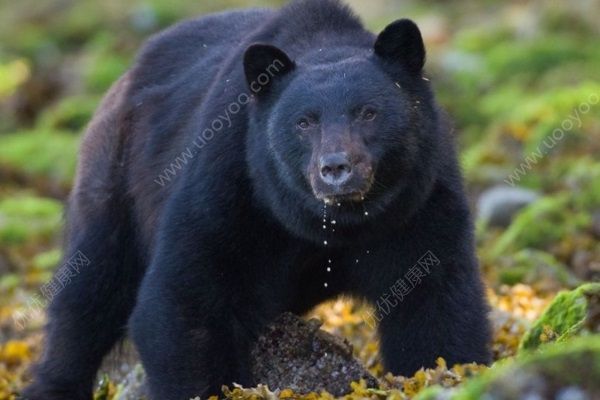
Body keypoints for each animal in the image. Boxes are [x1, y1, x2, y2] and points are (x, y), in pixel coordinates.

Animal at [24, 1, 492, 398]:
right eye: (304, 122)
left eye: (368, 112)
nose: (335, 168)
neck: (332, 224)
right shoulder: (229, 186)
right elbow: (184, 297)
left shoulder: (419, 204)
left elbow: (434, 303)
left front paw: (444, 372)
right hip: (115, 179)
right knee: (89, 290)